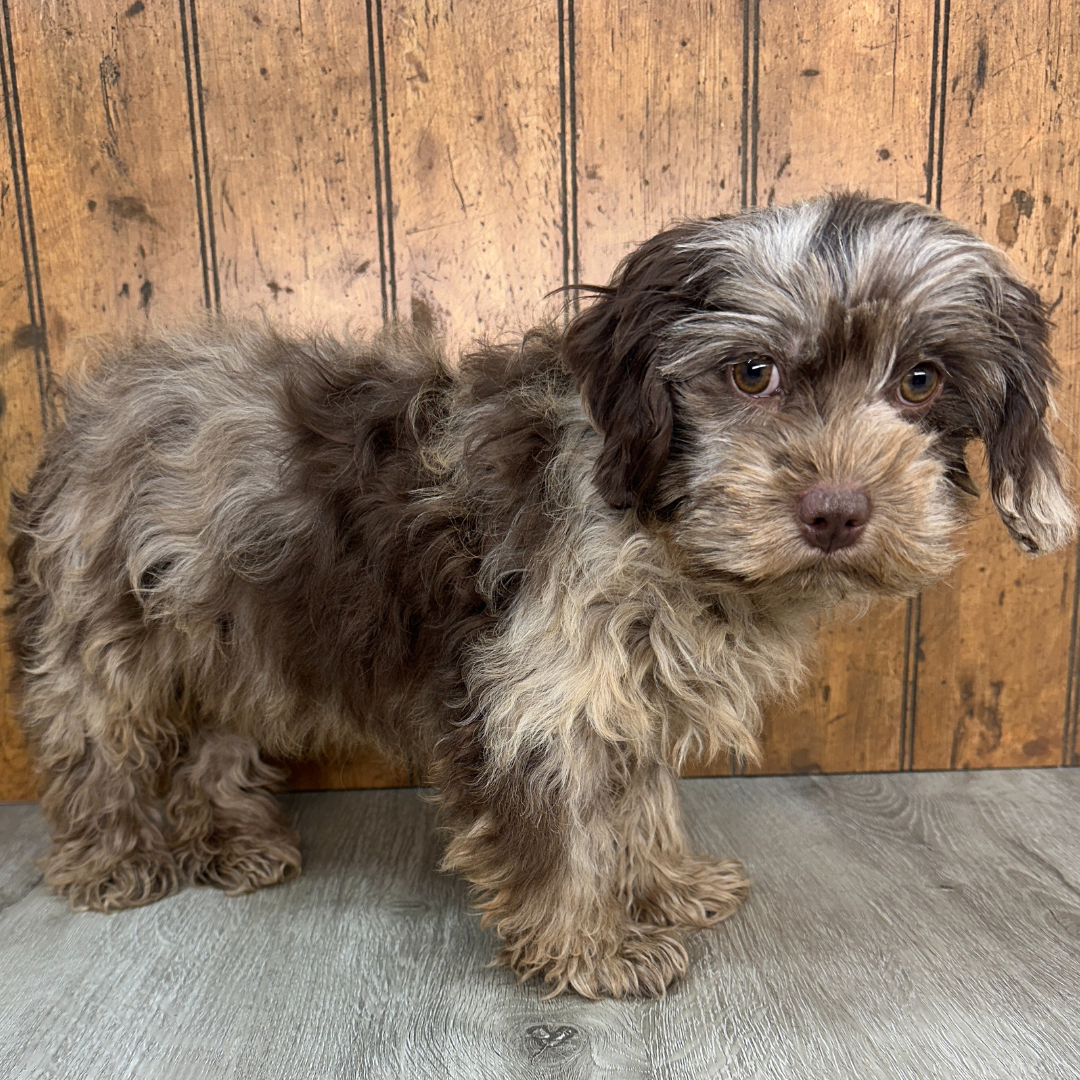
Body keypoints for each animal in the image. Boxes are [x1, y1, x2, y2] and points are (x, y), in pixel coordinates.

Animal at [6, 192, 1071, 993]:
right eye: (751, 372)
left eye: (923, 381)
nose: (838, 510)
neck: (655, 525)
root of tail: (99, 401)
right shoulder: (536, 691)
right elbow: (563, 829)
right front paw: (592, 944)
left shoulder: (626, 684)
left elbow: (638, 797)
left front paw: (663, 884)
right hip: (106, 627)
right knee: (97, 742)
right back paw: (116, 855)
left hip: (234, 628)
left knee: (216, 736)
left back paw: (230, 837)